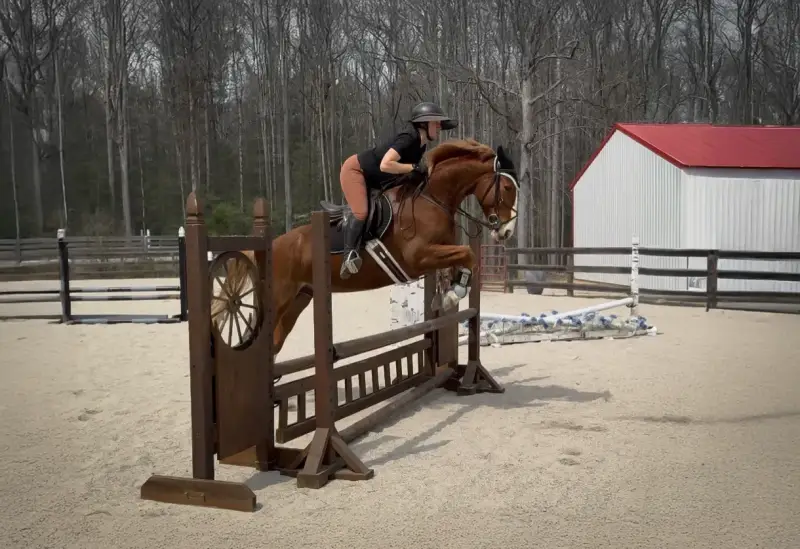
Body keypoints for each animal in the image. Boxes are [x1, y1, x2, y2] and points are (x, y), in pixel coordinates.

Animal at [211, 138, 519, 357]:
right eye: (507, 188)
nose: (506, 231)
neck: (432, 198)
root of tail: (271, 245)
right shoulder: (419, 257)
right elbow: (468, 254)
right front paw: (454, 294)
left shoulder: (441, 248)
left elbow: (461, 261)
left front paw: (449, 293)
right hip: (278, 297)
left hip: (299, 299)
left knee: (275, 342)